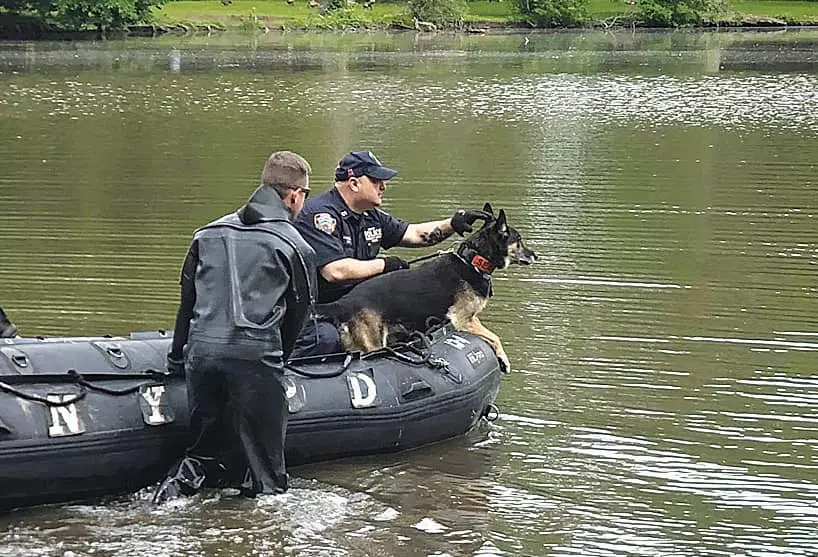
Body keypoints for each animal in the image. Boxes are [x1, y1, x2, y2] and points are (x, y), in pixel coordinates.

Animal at [314, 202, 536, 372]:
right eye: (519, 240)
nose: (535, 255)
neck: (473, 261)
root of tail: (344, 302)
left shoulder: (471, 319)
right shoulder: (462, 320)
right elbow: (495, 337)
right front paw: (504, 360)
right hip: (374, 344)